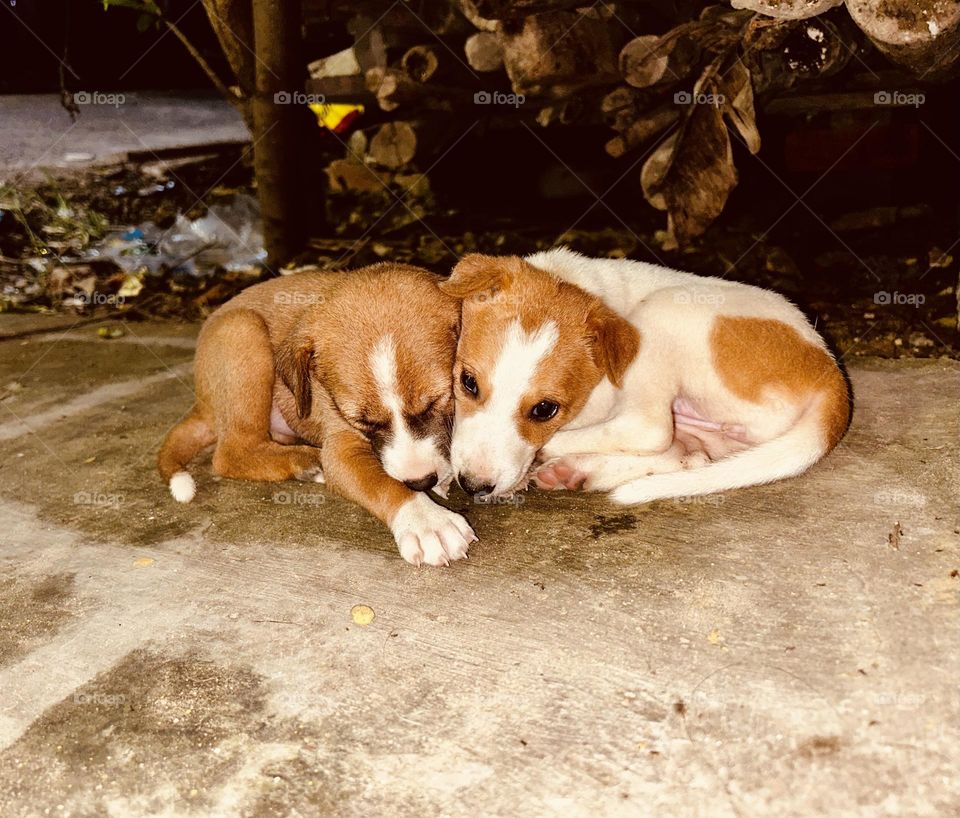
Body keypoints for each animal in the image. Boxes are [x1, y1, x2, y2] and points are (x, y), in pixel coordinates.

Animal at [161, 264, 484, 564]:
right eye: (363, 421)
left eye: (436, 402)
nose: (420, 483)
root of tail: (201, 401)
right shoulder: (341, 450)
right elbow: (383, 483)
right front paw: (426, 521)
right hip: (243, 330)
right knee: (231, 453)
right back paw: (304, 461)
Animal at [438, 249, 852, 504]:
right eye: (468, 383)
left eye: (544, 410)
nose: (472, 486)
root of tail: (829, 371)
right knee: (691, 457)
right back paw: (580, 471)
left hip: (659, 317)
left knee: (650, 429)